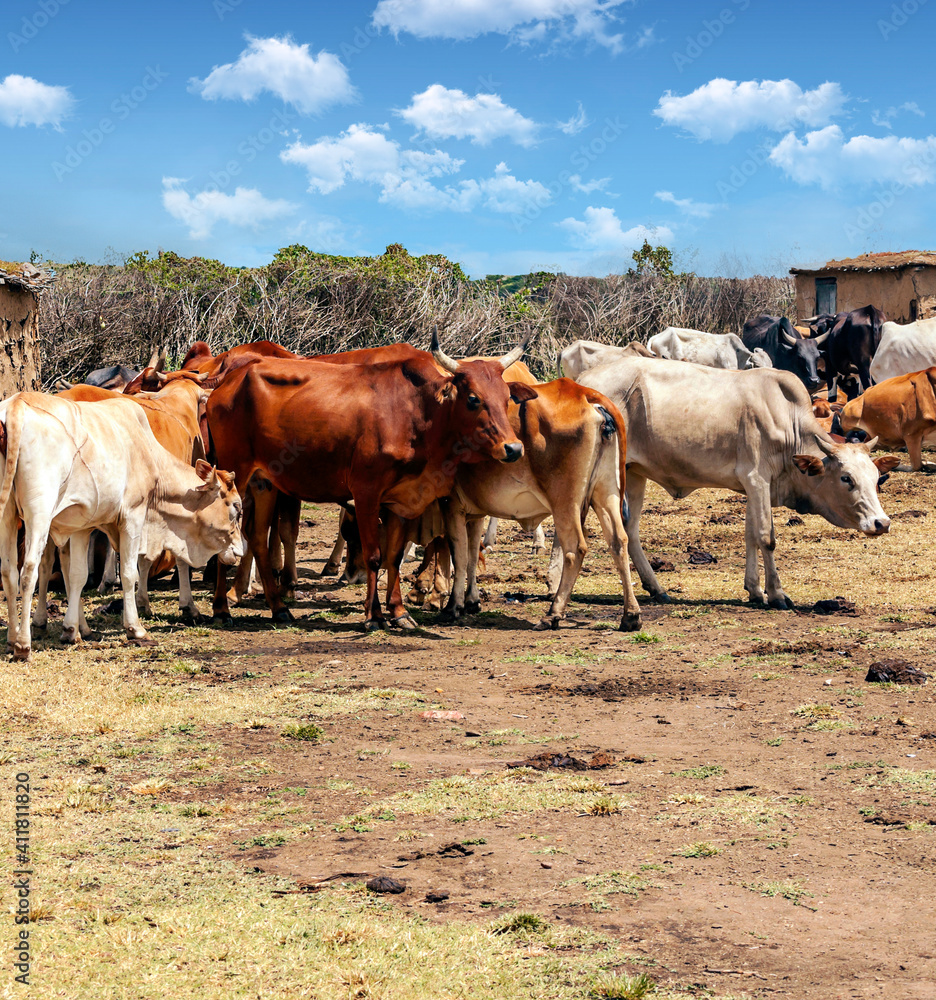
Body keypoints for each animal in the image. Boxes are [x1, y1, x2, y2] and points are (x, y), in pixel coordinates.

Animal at [0, 393, 244, 660]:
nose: (240, 550)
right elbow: (129, 574)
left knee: (9, 572)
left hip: (9, 515)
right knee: (28, 572)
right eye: (236, 507)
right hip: (39, 514)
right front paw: (135, 628)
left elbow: (76, 576)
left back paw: (13, 639)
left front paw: (71, 630)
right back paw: (23, 645)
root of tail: (16, 404)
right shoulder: (132, 516)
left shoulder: (81, 526)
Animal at [204, 331, 537, 630]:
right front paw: (374, 615)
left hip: (265, 483)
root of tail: (227, 381)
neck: (418, 411)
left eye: (506, 398)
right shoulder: (366, 493)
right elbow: (375, 557)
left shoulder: (400, 499)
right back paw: (221, 609)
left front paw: (399, 612)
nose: (513, 448)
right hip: (236, 475)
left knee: (258, 537)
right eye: (473, 398)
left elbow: (394, 557)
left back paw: (278, 608)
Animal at [441, 378, 641, 631]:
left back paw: (554, 612)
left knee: (575, 548)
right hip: (606, 493)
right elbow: (472, 554)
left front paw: (453, 605)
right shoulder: (474, 512)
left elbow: (459, 556)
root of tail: (584, 393)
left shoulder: (451, 504)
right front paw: (471, 601)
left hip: (564, 502)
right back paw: (631, 615)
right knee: (619, 541)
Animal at [576, 357, 896, 610]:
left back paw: (657, 588)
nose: (881, 523)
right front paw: (777, 594)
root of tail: (582, 382)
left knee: (629, 529)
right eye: (846, 478)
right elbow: (766, 537)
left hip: (634, 474)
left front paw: (755, 590)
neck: (787, 423)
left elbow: (751, 535)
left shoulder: (753, 487)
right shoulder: (757, 479)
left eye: (875, 478)